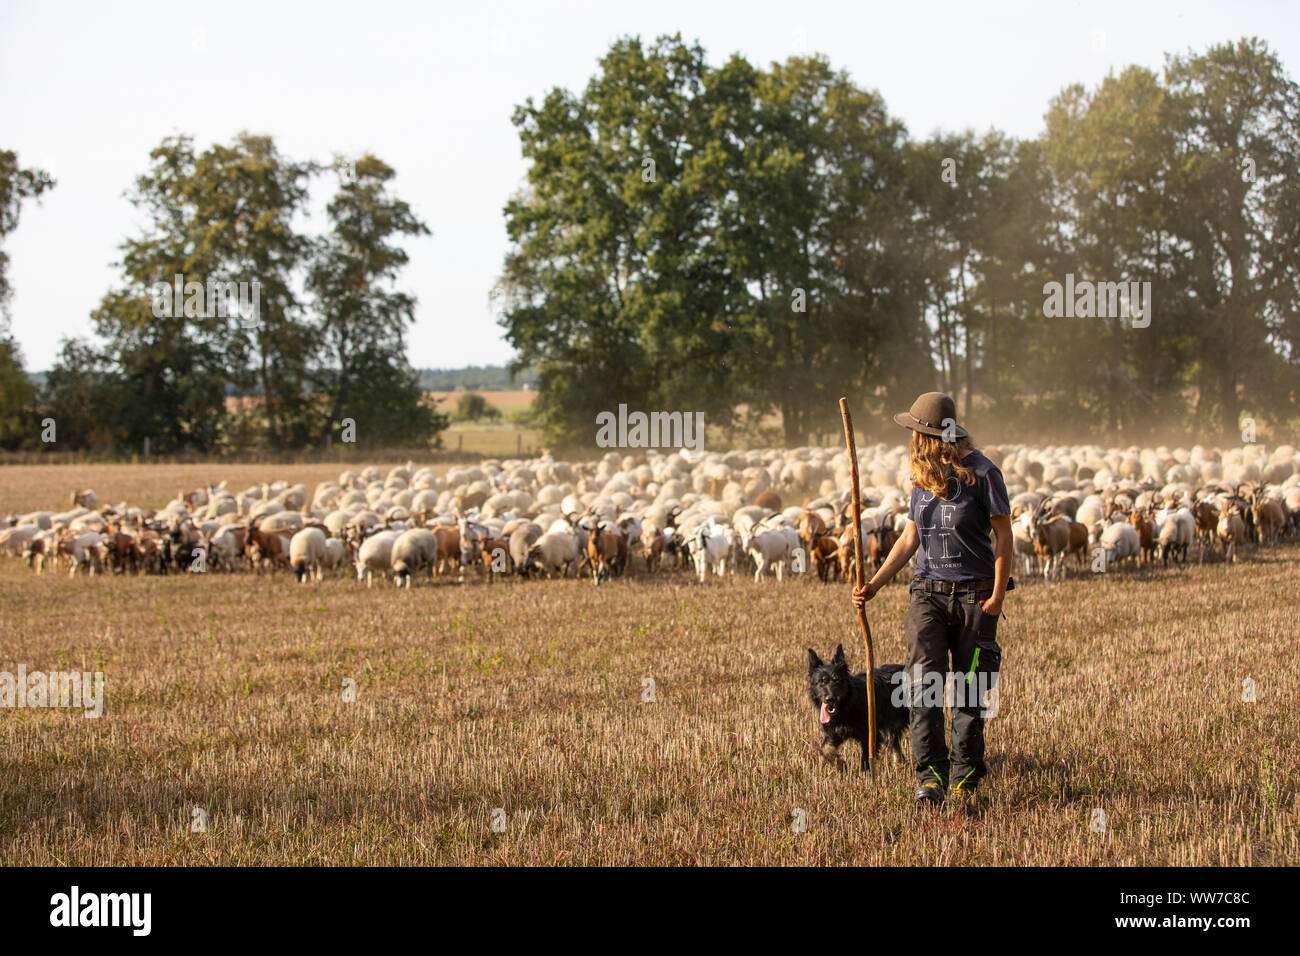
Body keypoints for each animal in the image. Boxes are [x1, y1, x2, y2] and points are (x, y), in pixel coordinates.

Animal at [806, 647, 909, 775]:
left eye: (837, 680)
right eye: (821, 681)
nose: (830, 699)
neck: (847, 705)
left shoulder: (870, 735)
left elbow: (866, 761)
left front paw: (866, 777)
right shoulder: (833, 733)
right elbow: (825, 751)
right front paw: (841, 765)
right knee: (896, 750)